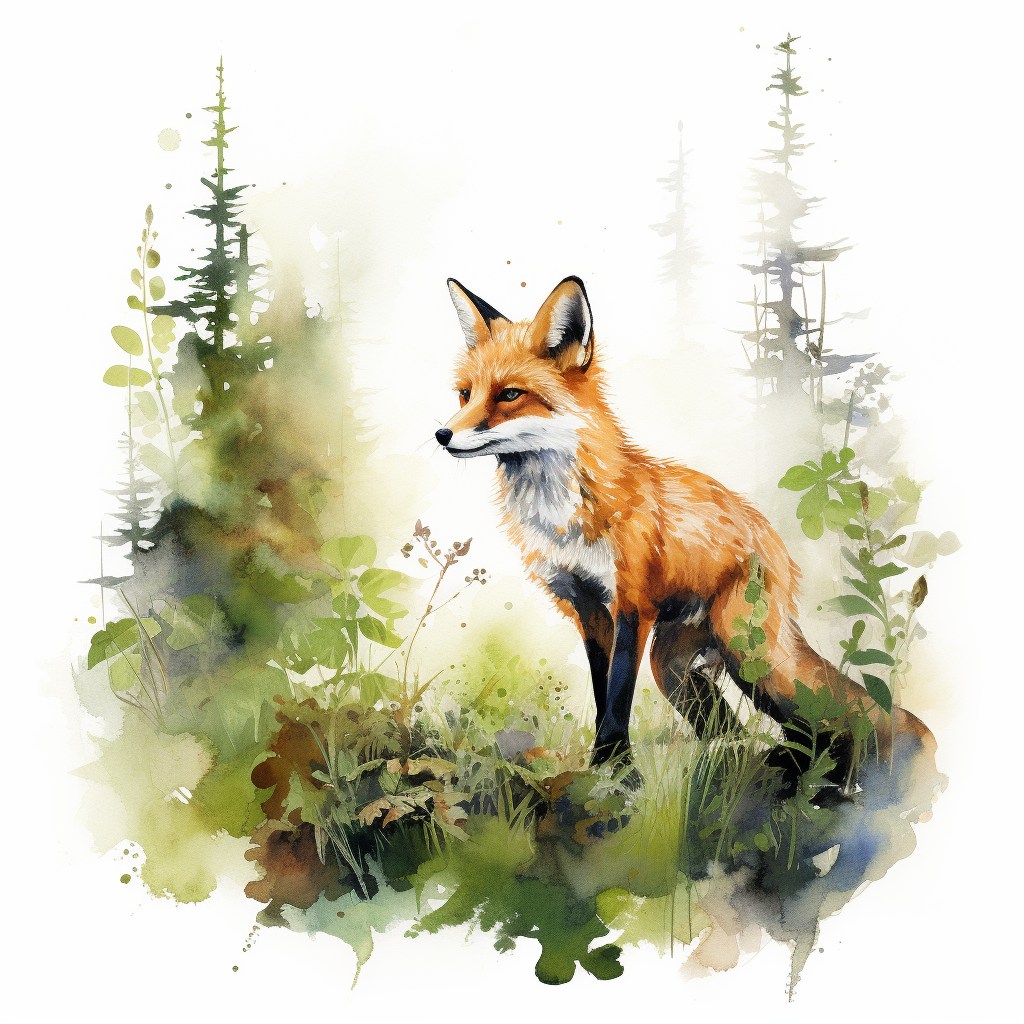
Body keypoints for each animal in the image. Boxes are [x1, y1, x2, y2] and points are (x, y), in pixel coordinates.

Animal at [435, 275, 938, 798]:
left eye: (510, 395)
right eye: (465, 394)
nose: (442, 435)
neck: (563, 514)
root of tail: (773, 540)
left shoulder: (631, 607)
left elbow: (616, 699)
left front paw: (618, 773)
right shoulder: (588, 609)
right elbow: (601, 693)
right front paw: (609, 769)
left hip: (749, 652)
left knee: (815, 719)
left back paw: (831, 776)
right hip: (674, 665)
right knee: (727, 728)